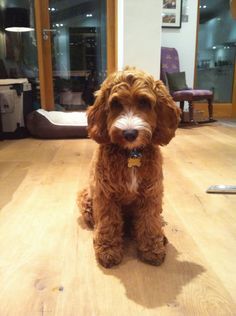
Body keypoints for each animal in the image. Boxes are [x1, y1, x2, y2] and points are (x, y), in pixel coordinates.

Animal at [78, 68, 181, 268]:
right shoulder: (105, 195)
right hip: (85, 196)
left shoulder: (151, 193)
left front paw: (152, 249)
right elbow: (108, 223)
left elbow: (149, 222)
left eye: (145, 102)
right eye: (116, 104)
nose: (130, 133)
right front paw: (108, 250)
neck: (131, 154)